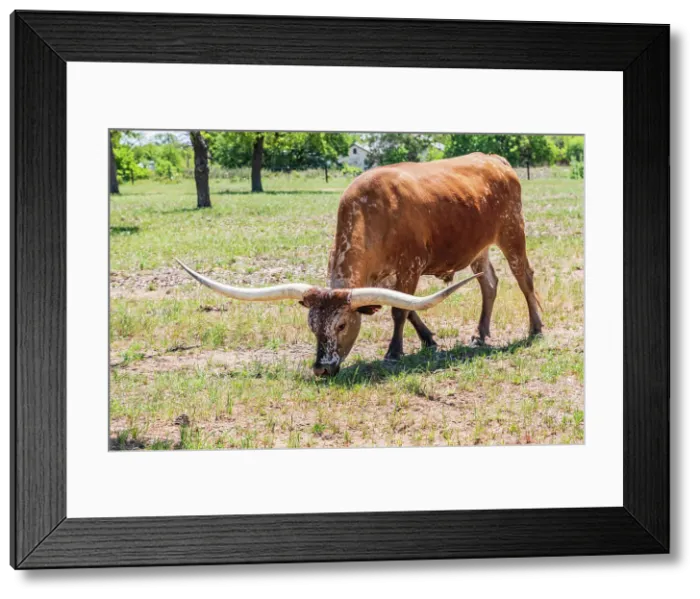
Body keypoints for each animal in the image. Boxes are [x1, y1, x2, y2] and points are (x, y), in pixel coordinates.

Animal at [177, 152, 543, 376]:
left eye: (341, 325)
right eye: (312, 325)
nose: (322, 368)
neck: (375, 213)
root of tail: (496, 160)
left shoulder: (410, 266)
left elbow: (400, 311)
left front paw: (394, 352)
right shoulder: (382, 277)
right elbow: (409, 308)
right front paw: (428, 340)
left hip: (513, 232)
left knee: (524, 278)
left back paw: (535, 328)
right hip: (477, 247)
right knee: (489, 283)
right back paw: (481, 334)